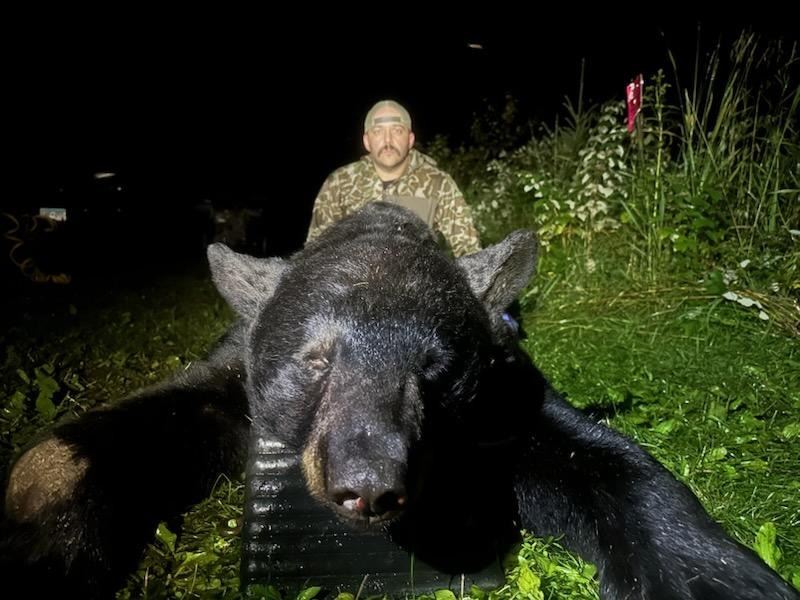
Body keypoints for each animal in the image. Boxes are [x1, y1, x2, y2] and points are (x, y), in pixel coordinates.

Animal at [1, 202, 798, 599]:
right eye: (315, 360)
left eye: (435, 368)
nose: (371, 484)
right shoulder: (236, 371)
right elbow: (152, 417)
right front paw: (43, 528)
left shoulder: (505, 389)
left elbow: (608, 464)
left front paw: (725, 582)